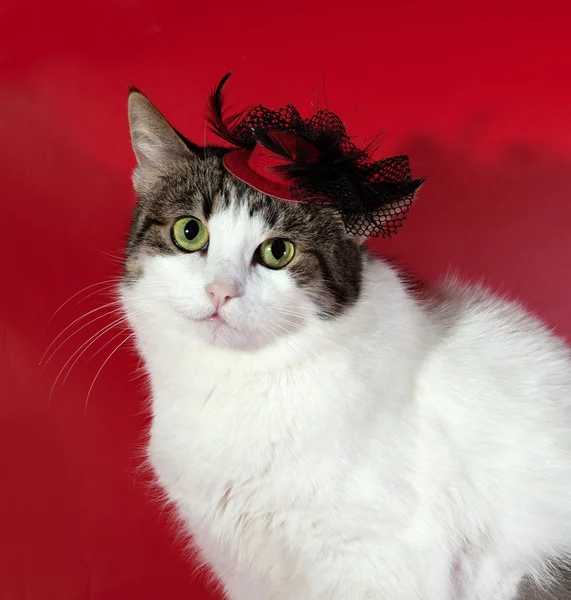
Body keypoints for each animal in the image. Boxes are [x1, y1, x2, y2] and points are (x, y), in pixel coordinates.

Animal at [119, 90, 571, 600]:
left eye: (278, 252)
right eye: (189, 231)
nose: (220, 290)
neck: (234, 383)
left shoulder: (378, 565)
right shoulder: (244, 570)